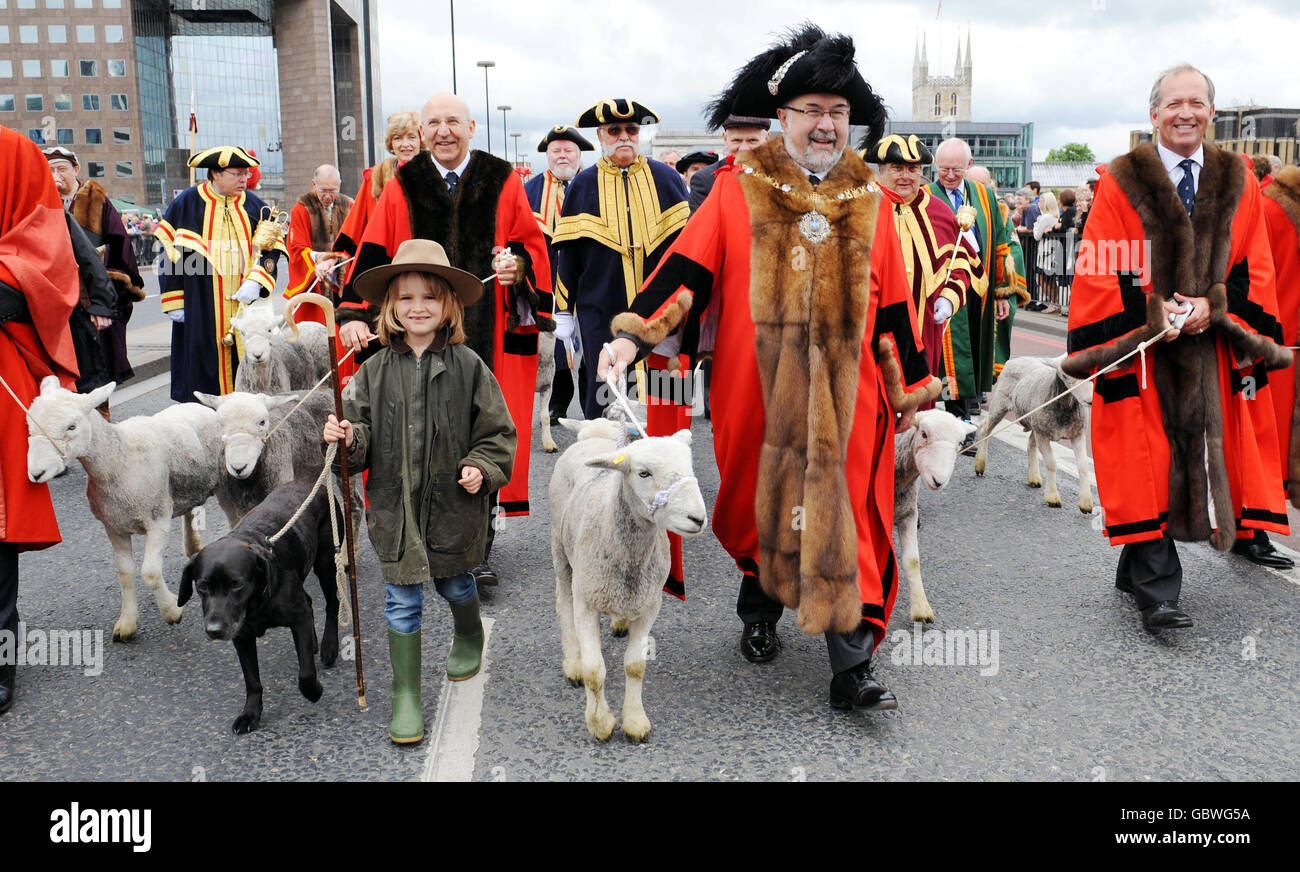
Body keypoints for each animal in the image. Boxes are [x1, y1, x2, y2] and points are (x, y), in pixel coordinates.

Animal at [27, 376, 236, 641]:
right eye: (29, 427)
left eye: (72, 427)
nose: (36, 473)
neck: (119, 458)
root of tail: (199, 406)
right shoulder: (113, 527)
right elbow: (126, 573)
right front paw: (126, 622)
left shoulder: (158, 520)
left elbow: (150, 572)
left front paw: (172, 610)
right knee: (189, 511)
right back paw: (192, 545)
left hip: (224, 483)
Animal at [179, 478, 340, 738]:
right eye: (202, 586)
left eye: (237, 584)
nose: (214, 630)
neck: (255, 605)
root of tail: (308, 481)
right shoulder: (242, 637)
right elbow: (252, 681)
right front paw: (250, 714)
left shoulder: (298, 617)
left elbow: (305, 673)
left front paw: (314, 691)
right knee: (309, 602)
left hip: (326, 563)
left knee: (332, 604)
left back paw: (328, 646)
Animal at [551, 418, 707, 738]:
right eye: (643, 473)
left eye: (689, 467)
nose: (697, 518)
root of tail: (594, 434)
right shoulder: (586, 601)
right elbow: (594, 670)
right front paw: (600, 723)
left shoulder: (650, 604)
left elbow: (635, 666)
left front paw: (635, 720)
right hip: (561, 555)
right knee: (564, 606)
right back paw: (572, 662)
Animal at [977, 356, 1097, 514]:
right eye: (1064, 375)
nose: (1090, 400)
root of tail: (1016, 359)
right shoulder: (1043, 435)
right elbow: (1051, 464)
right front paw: (1052, 497)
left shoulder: (1078, 434)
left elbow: (1083, 466)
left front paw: (1086, 503)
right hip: (1000, 404)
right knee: (984, 429)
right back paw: (980, 465)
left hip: (1034, 422)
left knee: (1030, 444)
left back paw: (1034, 477)